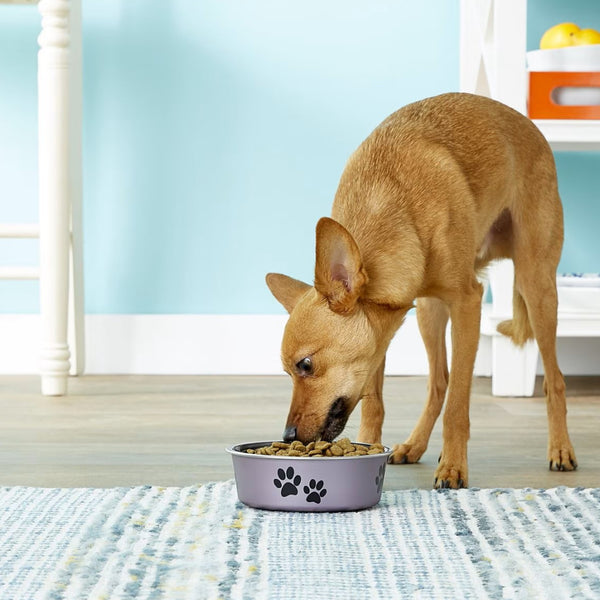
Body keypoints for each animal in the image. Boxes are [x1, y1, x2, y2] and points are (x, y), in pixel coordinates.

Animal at [266, 92, 576, 488]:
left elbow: (459, 405)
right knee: (438, 383)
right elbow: (377, 403)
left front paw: (454, 467)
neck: (393, 206)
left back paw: (561, 449)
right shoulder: (380, 338)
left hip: (536, 287)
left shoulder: (467, 304)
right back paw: (415, 445)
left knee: (554, 381)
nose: (288, 435)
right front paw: (370, 448)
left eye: (305, 365)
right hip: (430, 313)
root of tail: (528, 124)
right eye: (288, 372)